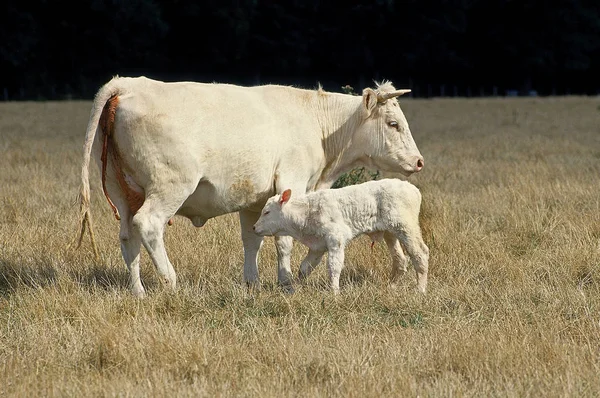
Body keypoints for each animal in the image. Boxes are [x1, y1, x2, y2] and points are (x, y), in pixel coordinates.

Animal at [251, 179, 428, 294]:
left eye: (267, 212)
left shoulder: (335, 240)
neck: (306, 211)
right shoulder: (317, 247)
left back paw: (419, 290)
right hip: (391, 233)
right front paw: (295, 288)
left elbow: (334, 266)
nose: (254, 227)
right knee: (400, 259)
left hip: (406, 227)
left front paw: (334, 292)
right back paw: (391, 287)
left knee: (420, 253)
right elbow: (305, 268)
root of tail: (414, 189)